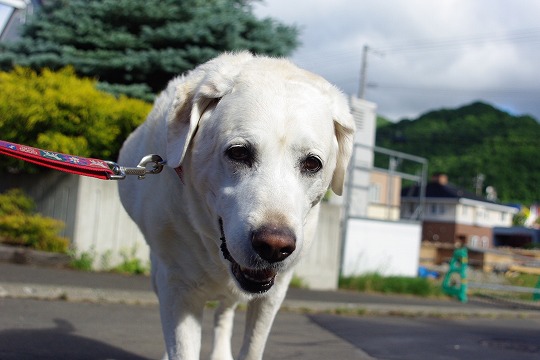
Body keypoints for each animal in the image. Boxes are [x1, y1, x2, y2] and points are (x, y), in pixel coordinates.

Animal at [117, 51, 354, 360]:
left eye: (312, 163)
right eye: (239, 153)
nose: (274, 246)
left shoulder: (272, 293)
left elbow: (252, 345)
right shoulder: (176, 288)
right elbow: (181, 347)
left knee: (225, 311)